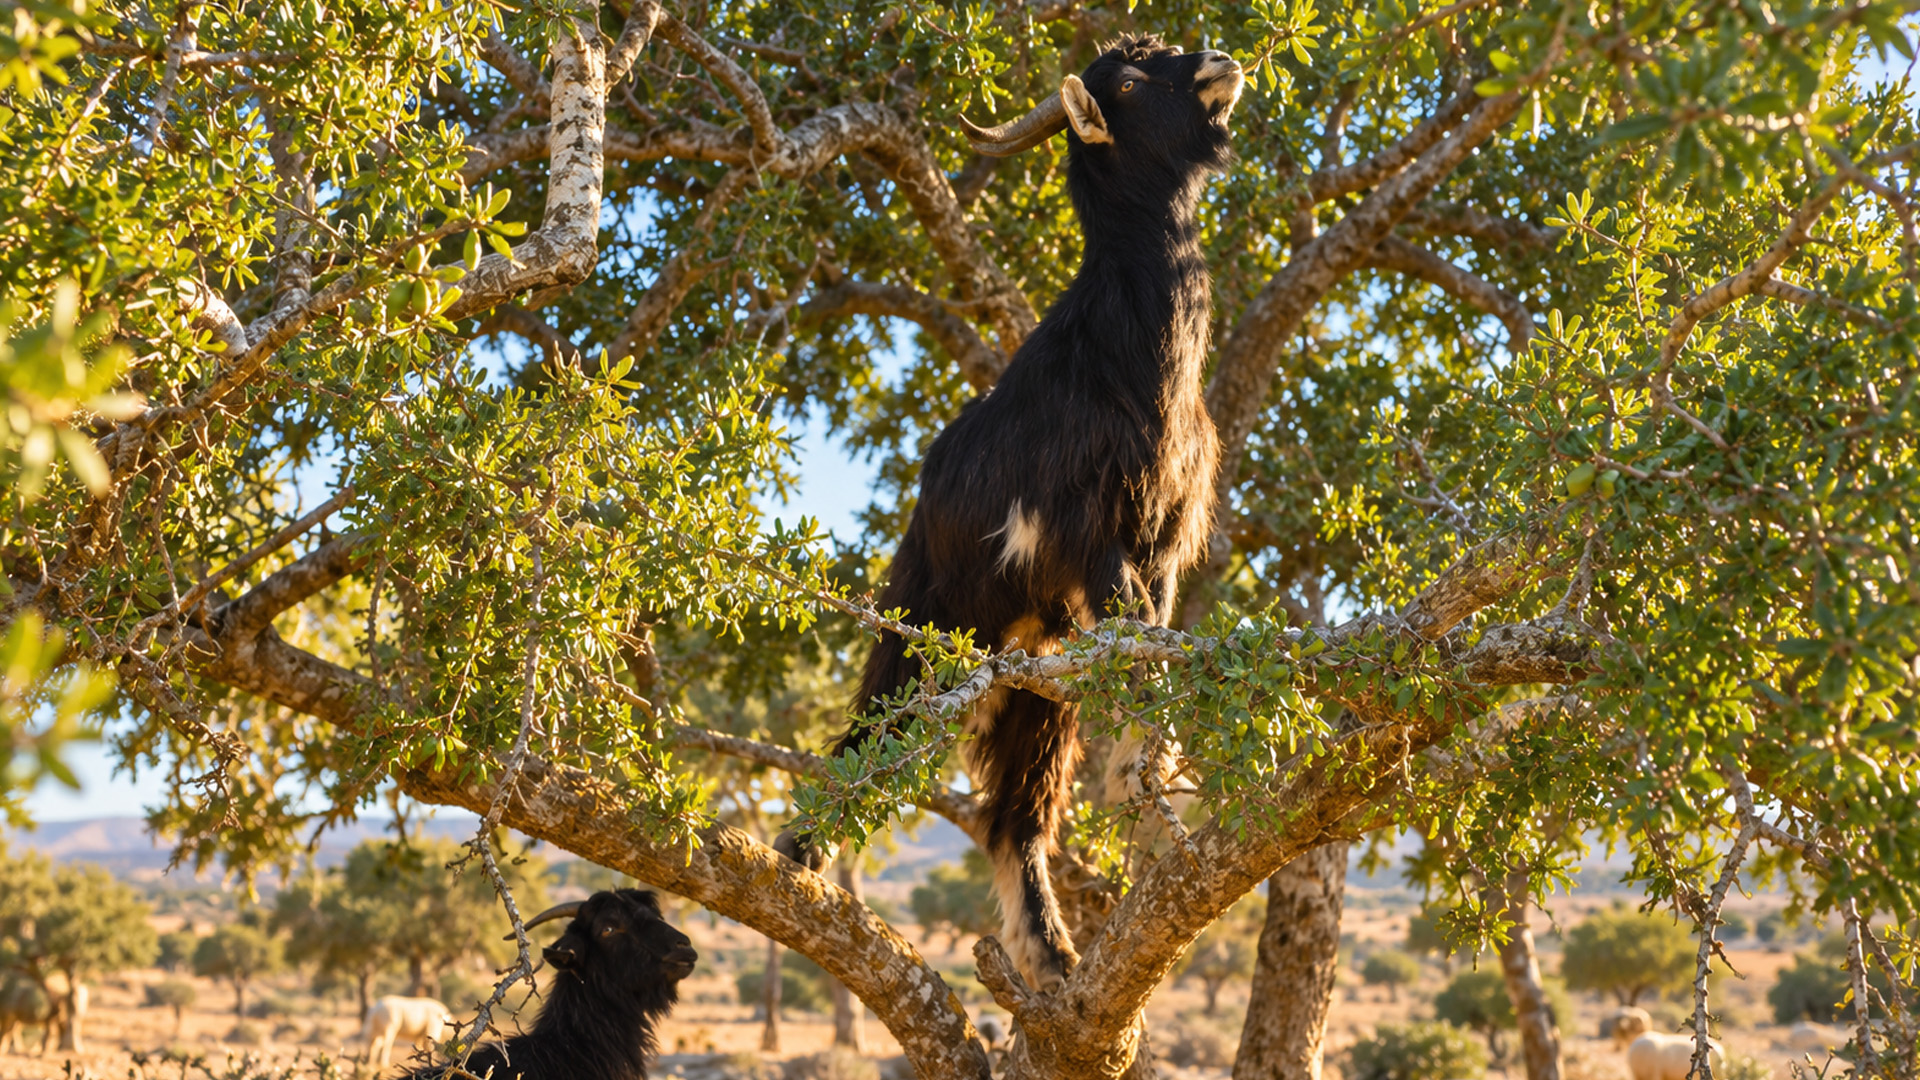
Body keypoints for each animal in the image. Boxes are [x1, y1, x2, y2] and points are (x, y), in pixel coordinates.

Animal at [779, 35, 1244, 992]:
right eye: (1131, 83)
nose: (1221, 61)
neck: (1127, 358)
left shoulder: (1165, 543)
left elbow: (1158, 643)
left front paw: (1148, 768)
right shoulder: (1091, 536)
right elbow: (1141, 647)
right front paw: (1140, 772)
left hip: (1036, 678)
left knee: (1014, 819)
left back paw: (1055, 960)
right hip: (924, 632)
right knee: (863, 742)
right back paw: (797, 862)